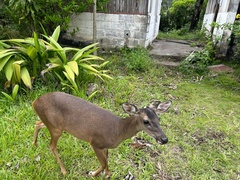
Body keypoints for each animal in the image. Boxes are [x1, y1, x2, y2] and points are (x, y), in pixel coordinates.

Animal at [31, 92, 172, 178]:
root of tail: (35, 102)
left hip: (54, 125)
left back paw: (34, 144)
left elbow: (107, 160)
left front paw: (108, 174)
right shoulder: (96, 143)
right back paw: (64, 170)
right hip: (55, 128)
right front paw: (92, 173)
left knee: (37, 124)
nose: (164, 139)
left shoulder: (105, 146)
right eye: (146, 121)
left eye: (159, 118)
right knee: (51, 145)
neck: (118, 130)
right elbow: (103, 163)